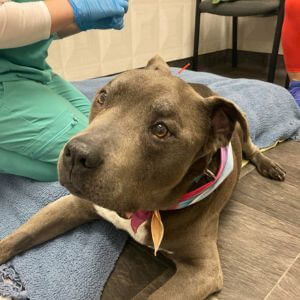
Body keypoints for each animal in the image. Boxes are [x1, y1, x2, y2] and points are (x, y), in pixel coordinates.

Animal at [0, 55, 286, 298]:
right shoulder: (74, 204)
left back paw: (269, 165)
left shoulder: (202, 270)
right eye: (103, 96)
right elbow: (18, 236)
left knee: (251, 144)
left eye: (161, 129)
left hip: (241, 121)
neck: (143, 208)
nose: (76, 154)